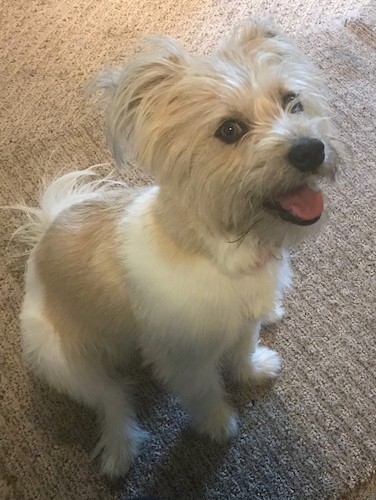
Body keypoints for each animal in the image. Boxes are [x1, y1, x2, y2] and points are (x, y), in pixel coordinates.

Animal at [18, 19, 338, 478]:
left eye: (291, 101)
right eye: (229, 130)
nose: (311, 150)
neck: (221, 251)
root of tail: (47, 229)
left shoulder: (244, 320)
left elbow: (243, 348)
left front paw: (252, 370)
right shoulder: (185, 363)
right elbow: (205, 393)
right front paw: (218, 424)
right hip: (58, 359)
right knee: (110, 398)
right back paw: (120, 447)